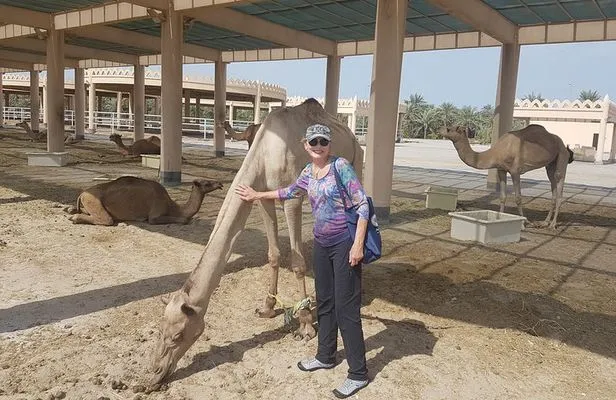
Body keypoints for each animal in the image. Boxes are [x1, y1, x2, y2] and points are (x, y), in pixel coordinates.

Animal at [65, 177, 223, 227]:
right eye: (207, 183)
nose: (220, 184)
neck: (173, 206)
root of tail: (83, 193)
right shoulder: (155, 215)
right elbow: (184, 220)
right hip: (93, 199)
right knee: (107, 219)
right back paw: (74, 217)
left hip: (88, 200)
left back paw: (70, 210)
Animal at [148, 97, 360, 384]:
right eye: (160, 329)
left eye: (179, 334)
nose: (156, 373)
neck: (264, 154)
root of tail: (351, 135)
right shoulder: (263, 197)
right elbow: (273, 254)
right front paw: (268, 308)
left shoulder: (292, 197)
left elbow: (297, 262)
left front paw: (305, 325)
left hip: (356, 163)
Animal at [440, 123, 576, 228]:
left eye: (449, 129)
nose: (440, 129)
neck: (497, 152)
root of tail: (563, 144)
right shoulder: (501, 170)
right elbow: (503, 196)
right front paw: (500, 218)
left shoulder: (515, 171)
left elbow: (518, 198)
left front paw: (523, 224)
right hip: (550, 164)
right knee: (552, 184)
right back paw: (545, 222)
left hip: (561, 155)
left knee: (559, 182)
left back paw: (553, 224)